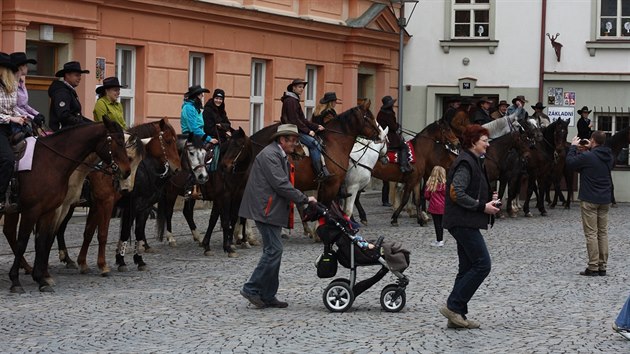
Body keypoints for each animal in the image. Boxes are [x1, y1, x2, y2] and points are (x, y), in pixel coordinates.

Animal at [4, 117, 133, 292]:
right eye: (118, 141)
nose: (127, 172)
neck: (49, 161)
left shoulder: (51, 210)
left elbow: (44, 240)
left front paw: (42, 278)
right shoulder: (33, 210)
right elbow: (24, 242)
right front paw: (16, 280)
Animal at [52, 120, 181, 276]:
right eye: (168, 141)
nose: (177, 168)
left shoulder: (137, 207)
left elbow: (92, 232)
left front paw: (136, 260)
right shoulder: (116, 204)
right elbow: (112, 232)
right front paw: (115, 262)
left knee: (60, 229)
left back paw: (67, 259)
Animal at [115, 133, 209, 272]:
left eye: (205, 153)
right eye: (191, 153)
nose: (203, 176)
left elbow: (137, 228)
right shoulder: (133, 205)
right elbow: (127, 230)